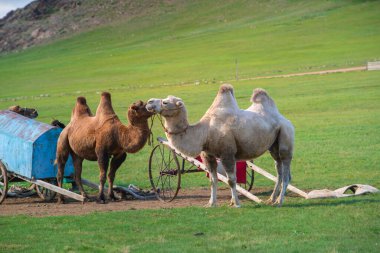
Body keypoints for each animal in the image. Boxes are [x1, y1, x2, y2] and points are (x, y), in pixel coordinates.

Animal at [147, 84, 296, 208]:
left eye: (165, 102)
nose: (149, 102)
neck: (204, 132)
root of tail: (286, 120)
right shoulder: (208, 155)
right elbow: (213, 180)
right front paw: (211, 203)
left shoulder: (227, 154)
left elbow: (231, 180)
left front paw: (236, 203)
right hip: (273, 146)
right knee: (279, 168)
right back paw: (272, 199)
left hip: (286, 137)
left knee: (285, 169)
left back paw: (279, 201)